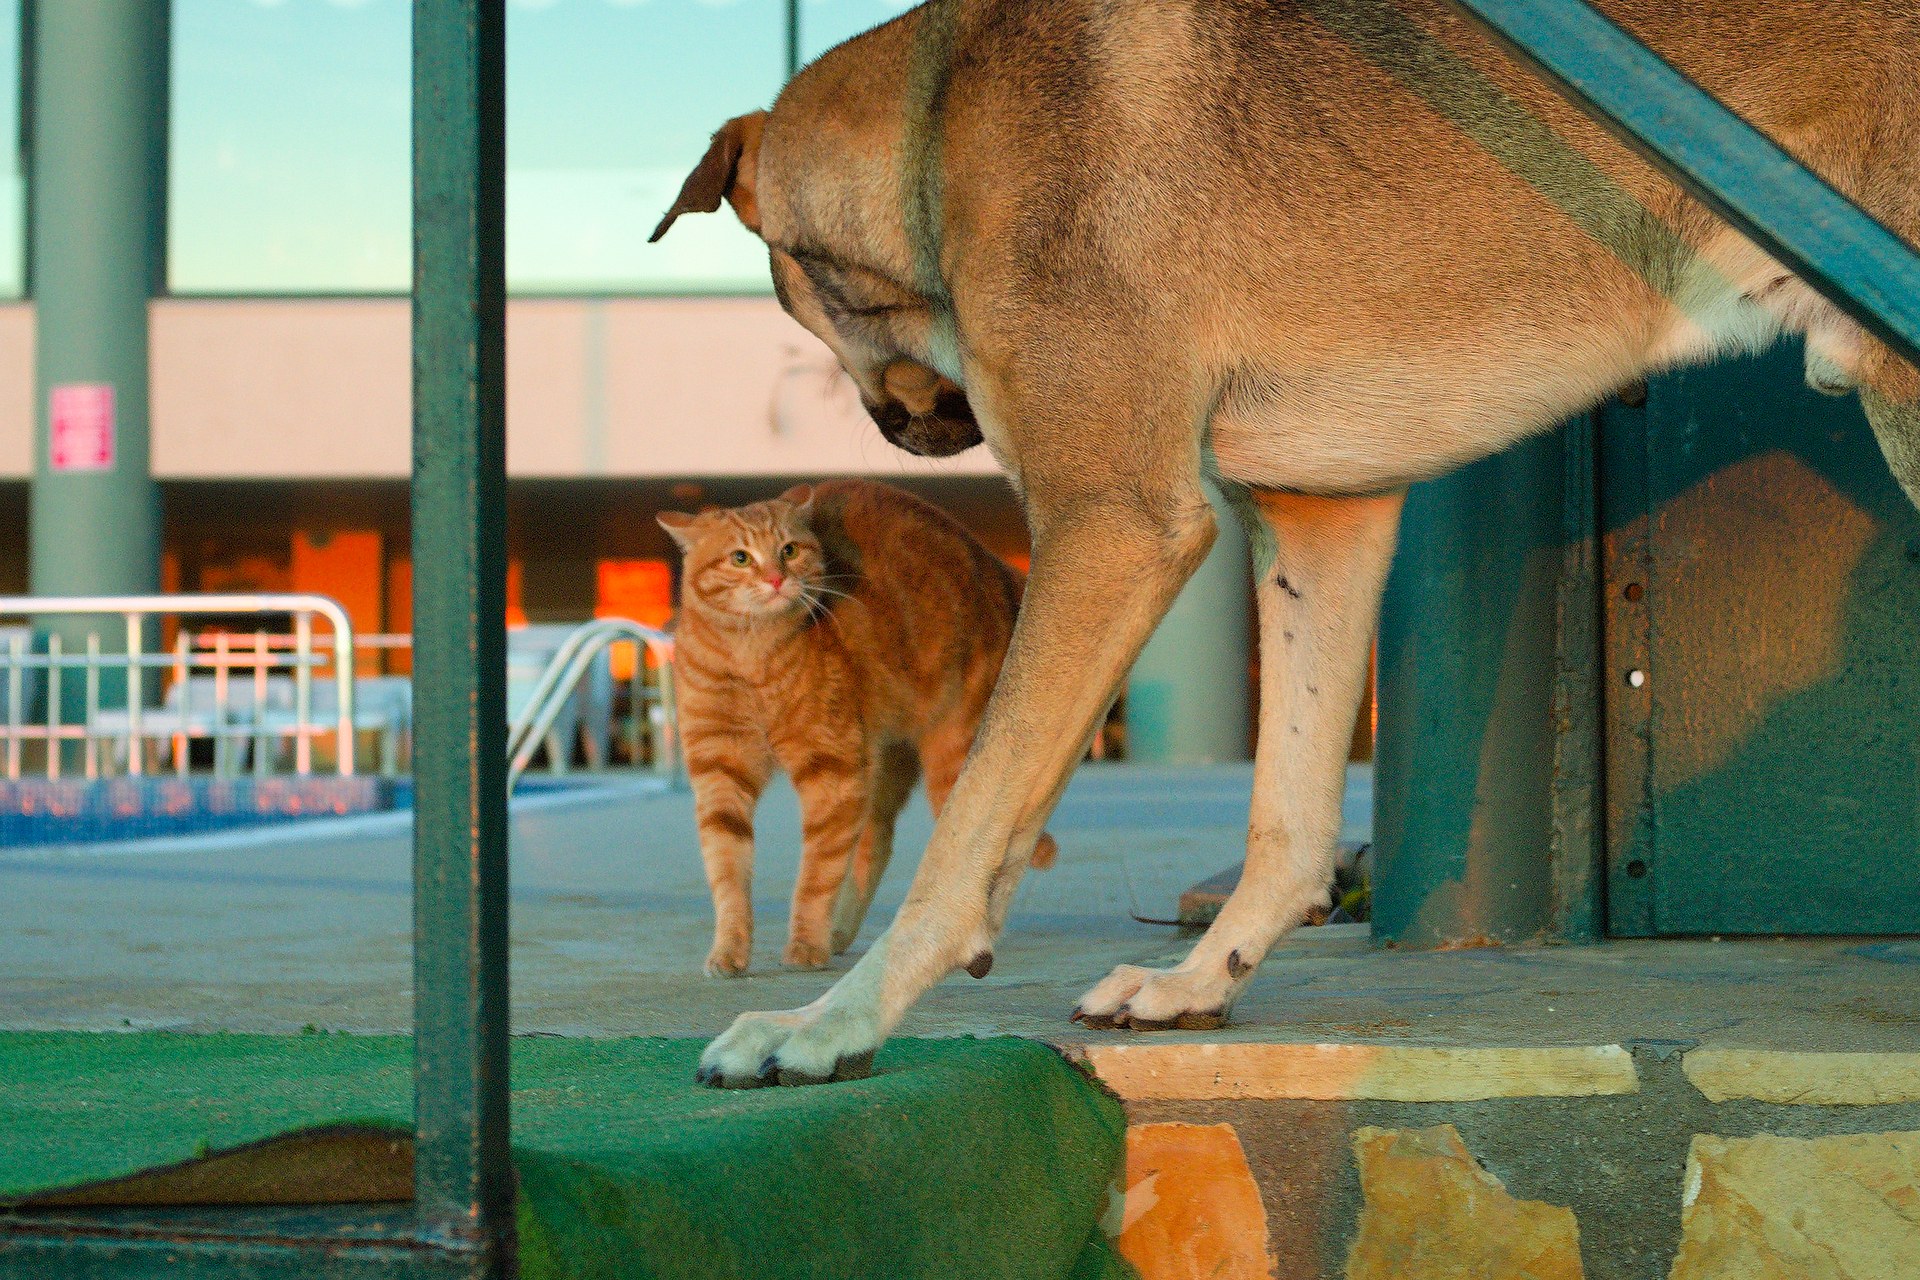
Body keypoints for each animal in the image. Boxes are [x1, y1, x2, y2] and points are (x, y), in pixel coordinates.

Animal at [656, 475, 1052, 974]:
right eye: (740, 557)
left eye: (789, 550)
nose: (776, 579)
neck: (751, 660)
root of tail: (997, 563)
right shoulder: (720, 773)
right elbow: (728, 873)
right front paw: (729, 949)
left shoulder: (832, 770)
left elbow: (816, 876)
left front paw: (805, 945)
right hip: (879, 762)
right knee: (875, 844)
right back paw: (842, 931)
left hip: (948, 759)